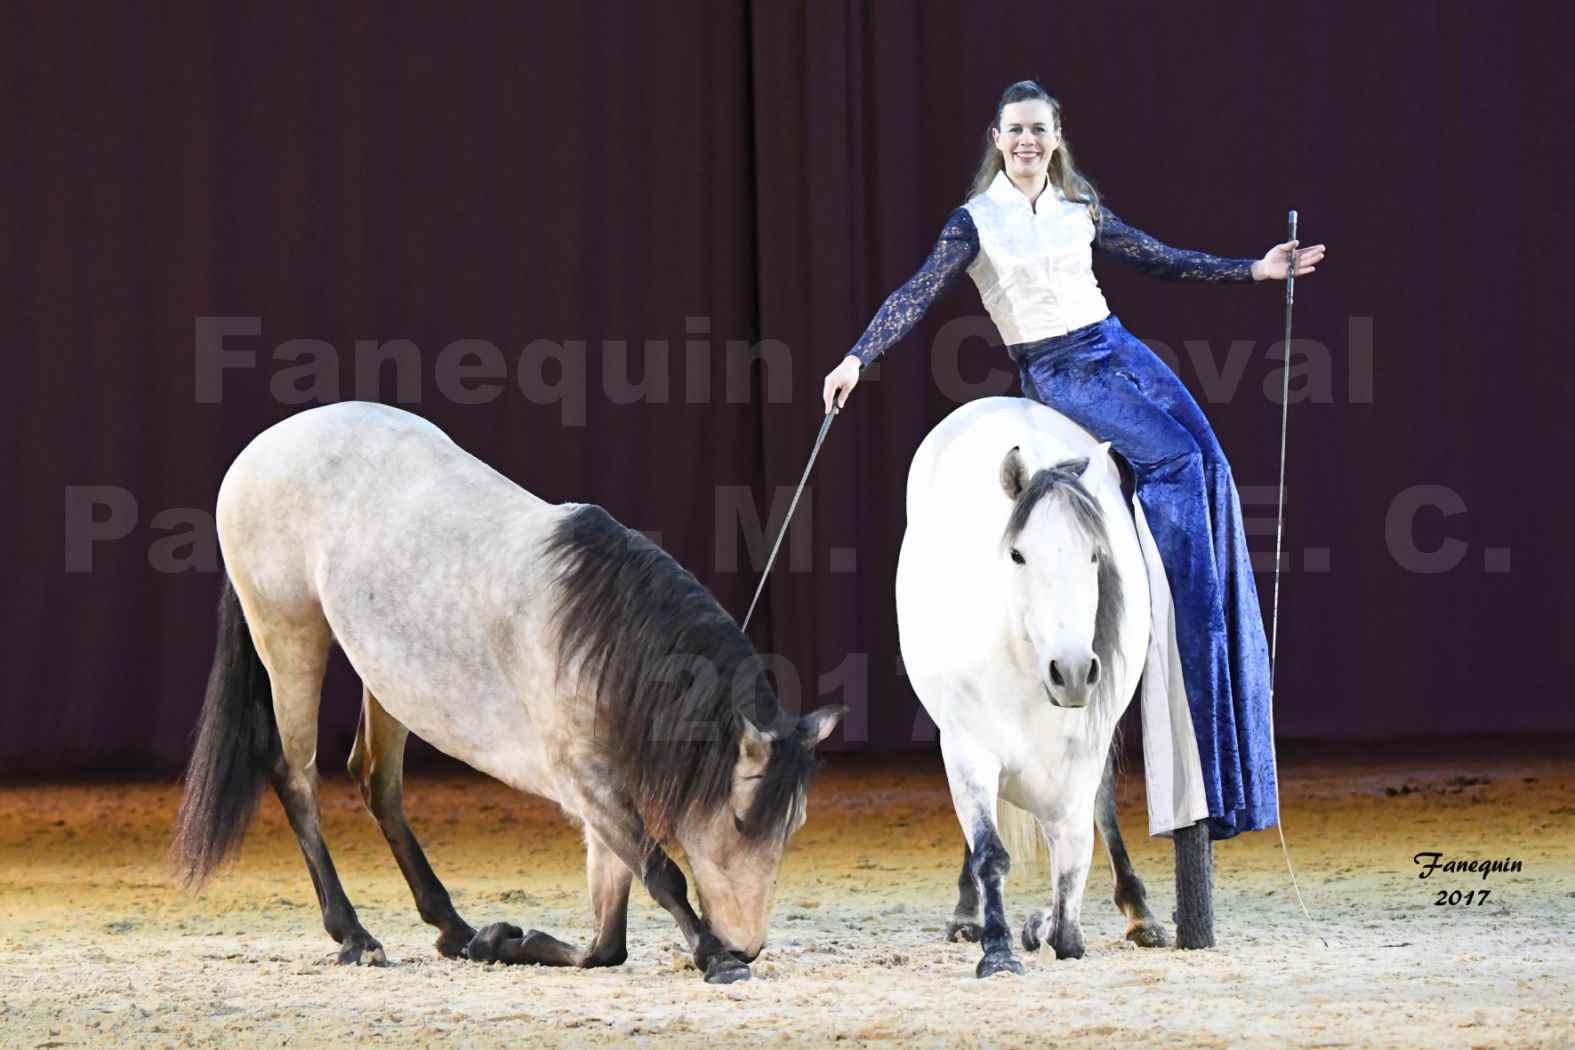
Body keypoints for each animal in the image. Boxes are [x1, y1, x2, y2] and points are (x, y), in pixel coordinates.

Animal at [169, 402, 850, 988]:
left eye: (795, 824)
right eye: (739, 819)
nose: (746, 945)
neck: (596, 628)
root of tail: (264, 444)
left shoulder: (606, 798)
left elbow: (607, 941)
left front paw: (502, 941)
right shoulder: (588, 784)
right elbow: (663, 876)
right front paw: (716, 960)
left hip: (387, 677)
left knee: (375, 781)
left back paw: (454, 928)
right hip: (289, 636)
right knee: (296, 775)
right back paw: (355, 936)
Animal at [900, 396, 1171, 976]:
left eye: (1095, 554)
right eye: (1017, 554)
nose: (1070, 671)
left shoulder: (1083, 757)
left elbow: (1074, 867)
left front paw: (1046, 925)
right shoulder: (969, 750)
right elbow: (990, 852)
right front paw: (1000, 948)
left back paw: (1140, 915)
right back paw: (969, 916)